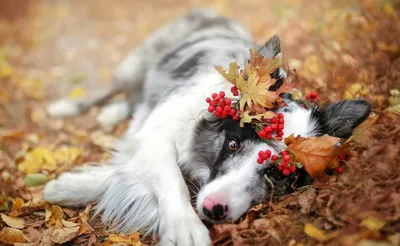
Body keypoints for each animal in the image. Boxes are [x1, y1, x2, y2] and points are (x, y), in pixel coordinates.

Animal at [42, 7, 370, 246]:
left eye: (278, 173)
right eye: (233, 144)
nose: (215, 208)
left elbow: (124, 172)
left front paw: (70, 186)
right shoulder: (158, 133)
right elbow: (170, 177)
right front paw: (185, 228)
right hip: (133, 66)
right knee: (113, 90)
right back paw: (79, 108)